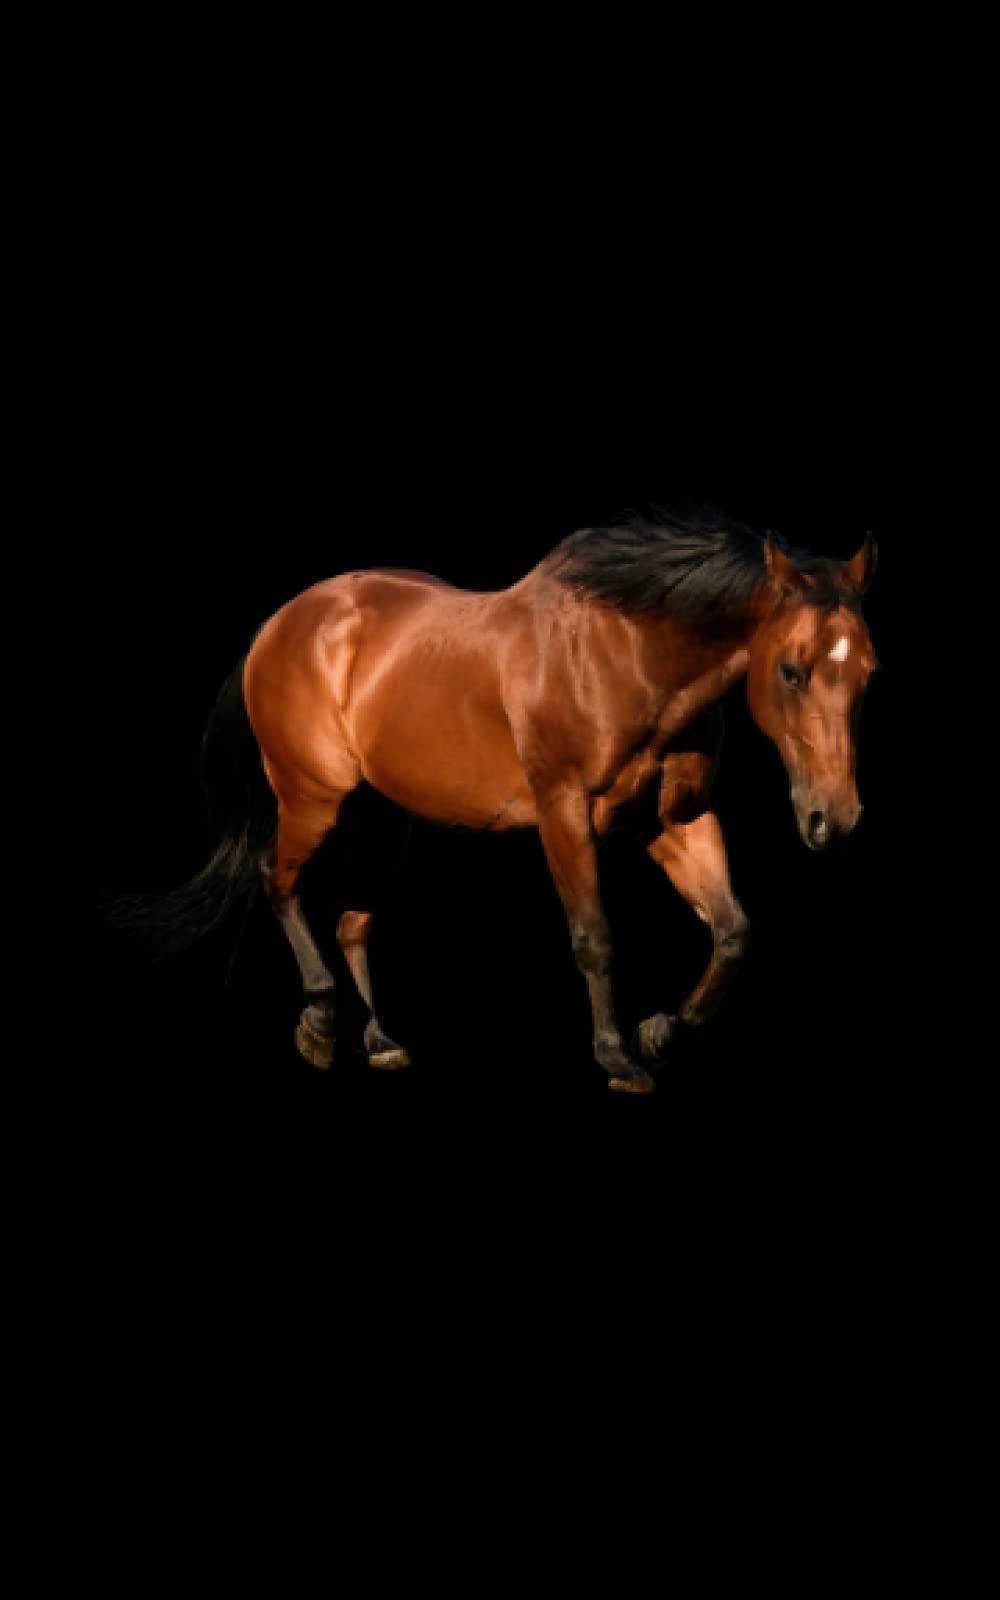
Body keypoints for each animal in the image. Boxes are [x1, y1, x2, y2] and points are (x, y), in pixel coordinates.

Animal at [118, 509, 878, 1094]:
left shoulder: (676, 820)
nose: (832, 820)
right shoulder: (564, 813)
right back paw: (319, 1022)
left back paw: (380, 1039)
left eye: (868, 672)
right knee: (278, 882)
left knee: (352, 920)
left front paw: (660, 1033)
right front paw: (617, 1056)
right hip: (310, 799)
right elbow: (594, 937)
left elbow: (732, 933)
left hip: (384, 818)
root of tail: (277, 626)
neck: (627, 655)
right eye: (791, 670)